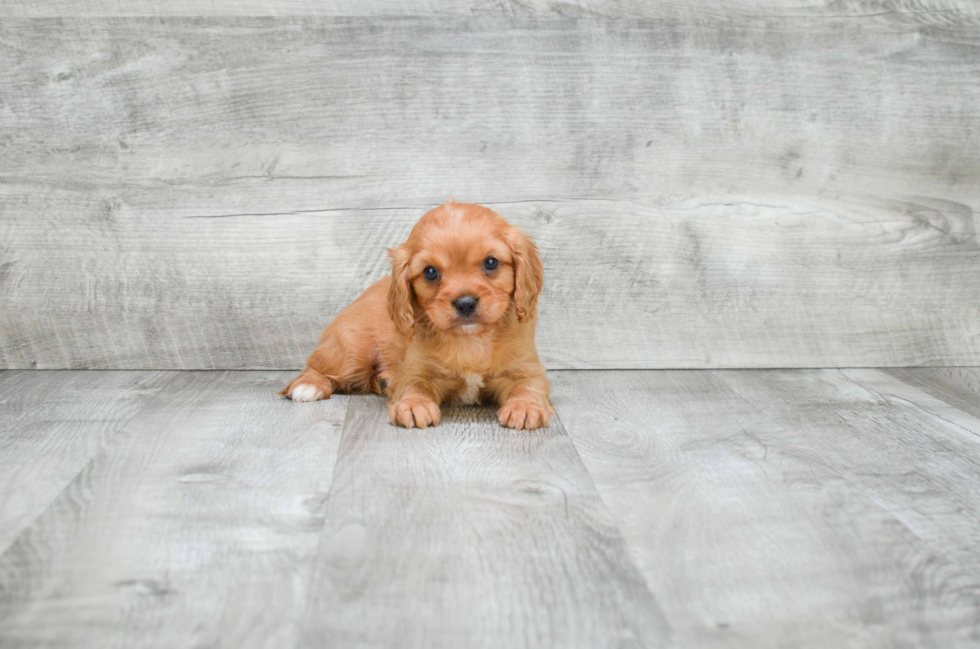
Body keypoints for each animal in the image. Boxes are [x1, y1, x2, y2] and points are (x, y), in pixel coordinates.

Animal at [282, 200, 552, 428]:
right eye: (430, 272)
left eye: (491, 263)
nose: (465, 303)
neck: (470, 341)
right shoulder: (415, 370)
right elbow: (415, 385)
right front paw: (413, 406)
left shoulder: (526, 368)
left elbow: (527, 387)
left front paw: (525, 407)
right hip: (351, 351)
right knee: (316, 367)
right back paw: (308, 386)